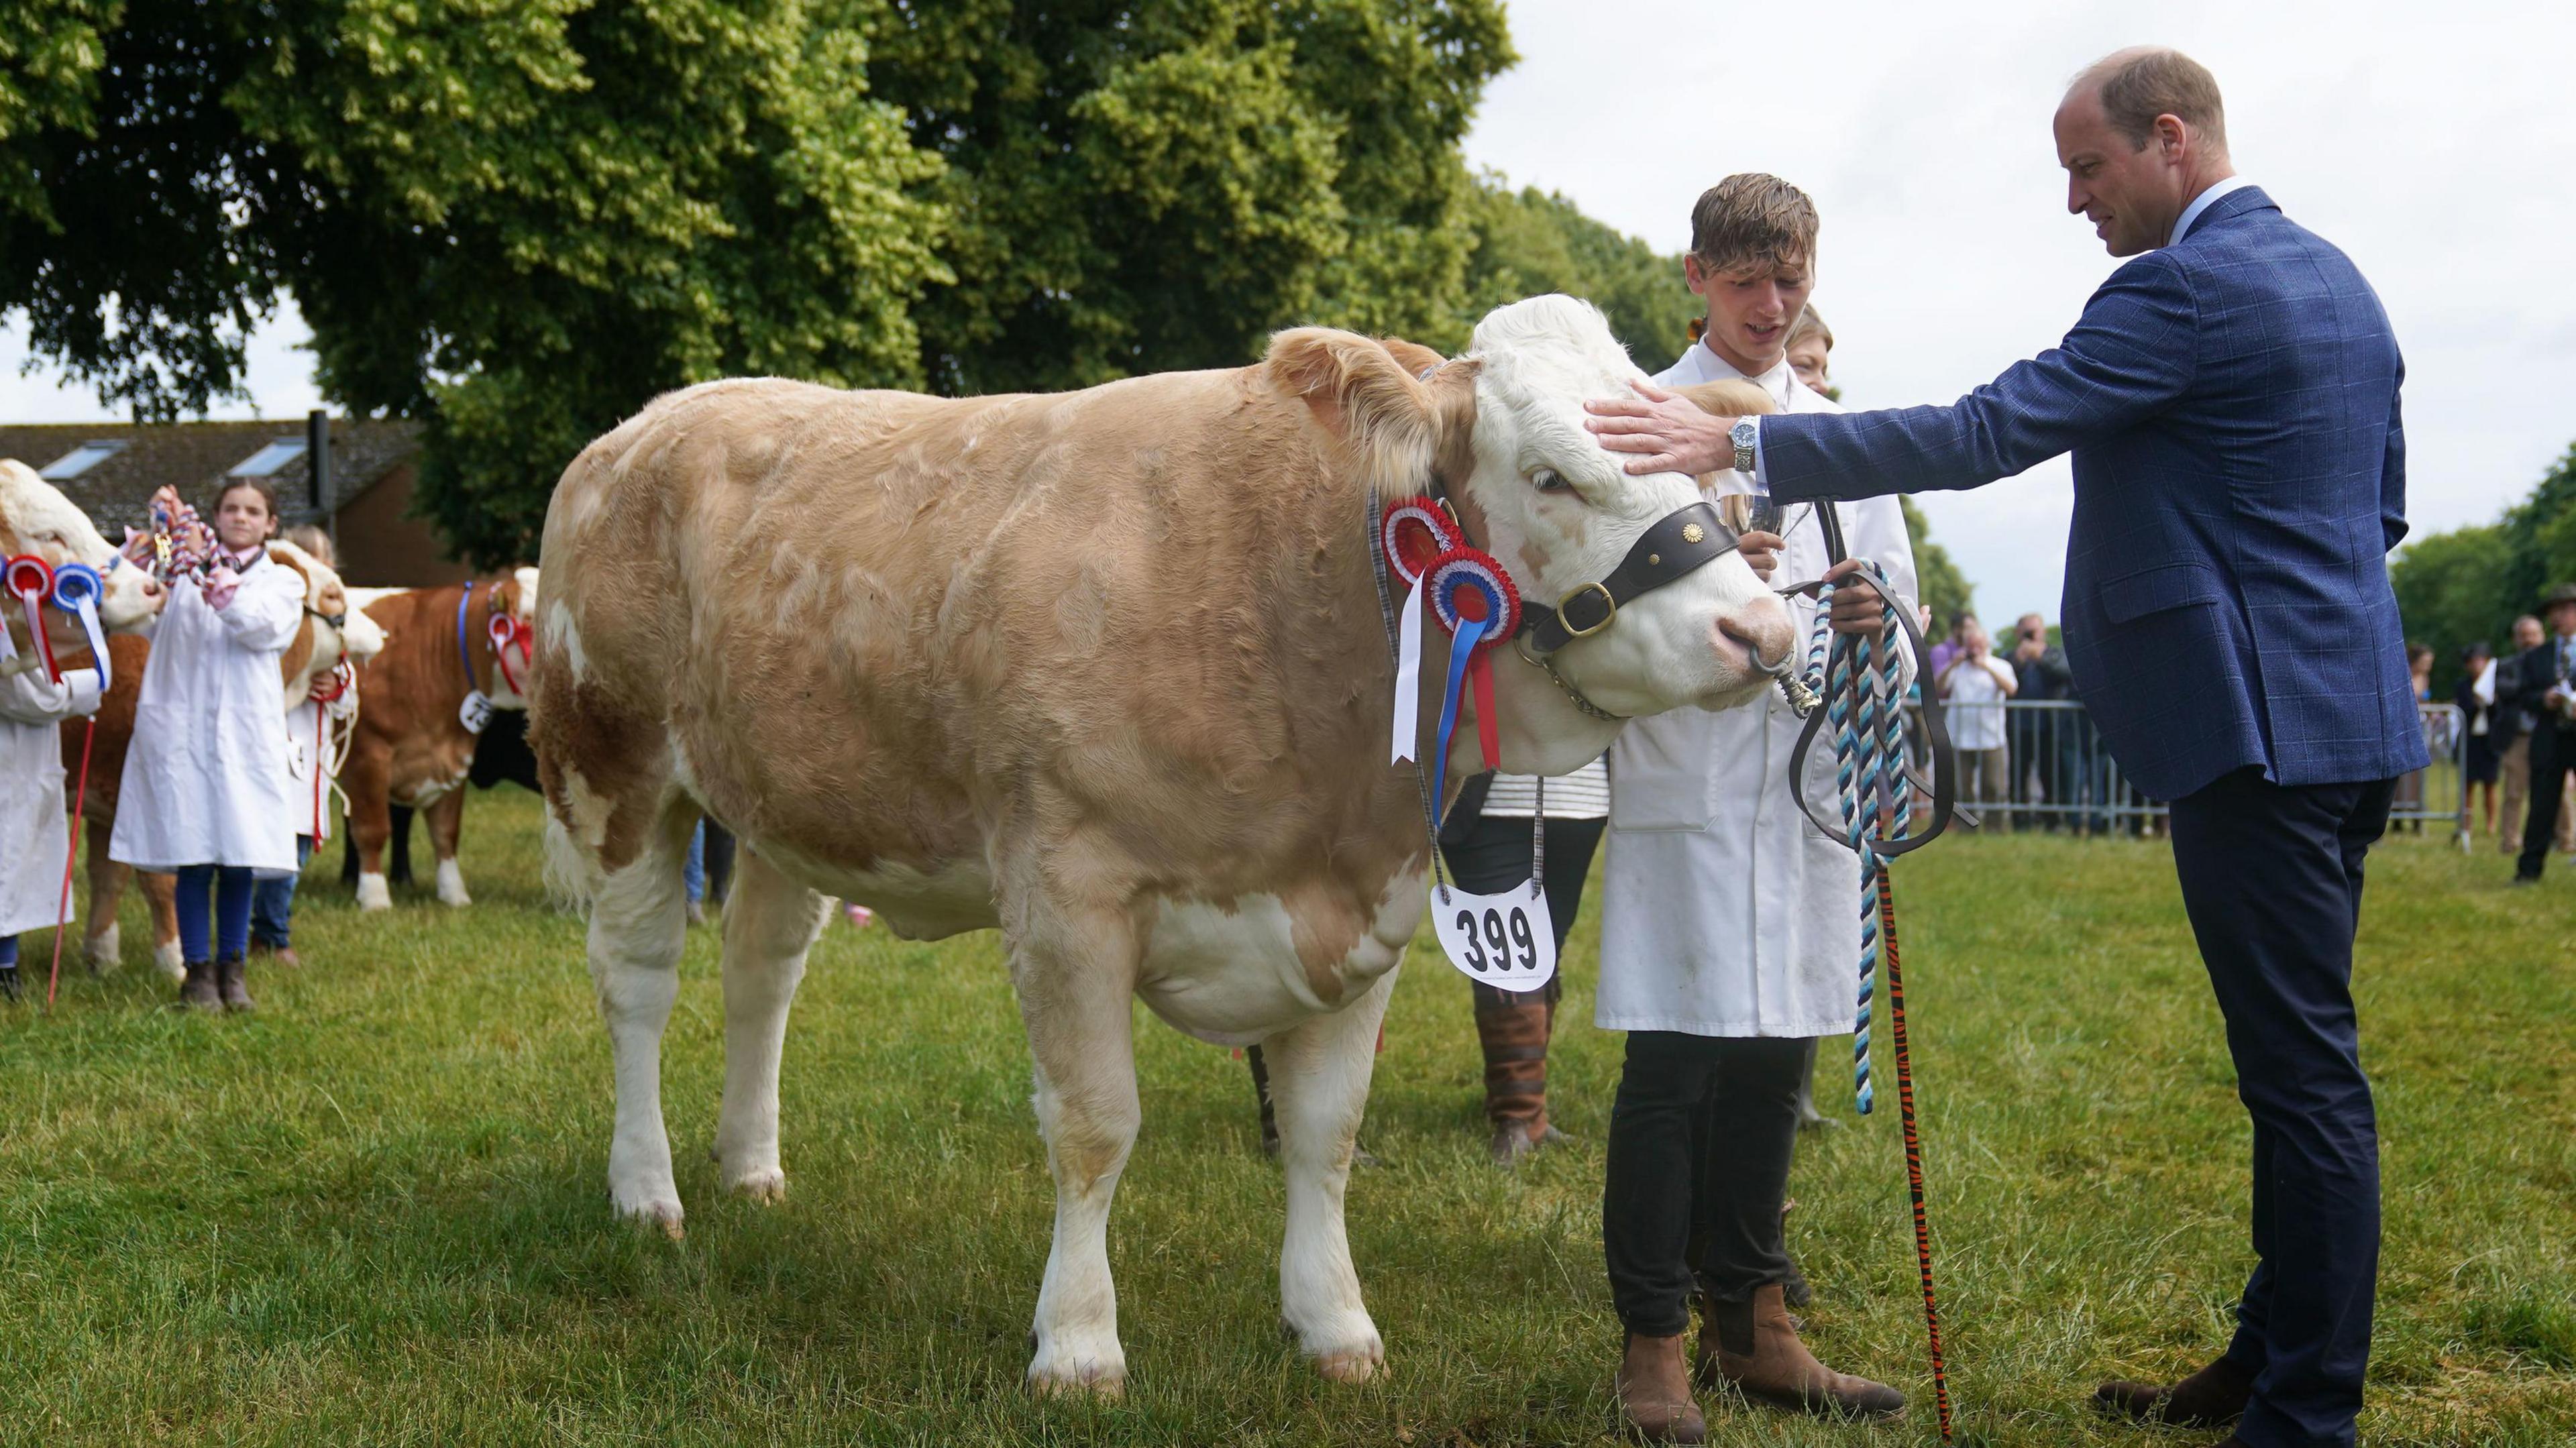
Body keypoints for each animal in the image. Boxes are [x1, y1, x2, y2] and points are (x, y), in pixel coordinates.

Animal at [342, 571, 533, 901]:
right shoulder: (367, 753)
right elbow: (372, 828)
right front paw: (374, 896)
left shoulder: (451, 756)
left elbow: (446, 832)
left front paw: (454, 895)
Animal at [533, 290, 1803, 1391]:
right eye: (1549, 474)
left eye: (1701, 467)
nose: (1763, 630)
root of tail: (654, 419)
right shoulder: (1065, 892)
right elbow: (1095, 1125)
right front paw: (1078, 1343)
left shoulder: (1371, 901)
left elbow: (1327, 1132)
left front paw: (1334, 1322)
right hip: (616, 768)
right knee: (637, 984)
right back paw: (647, 1190)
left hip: (785, 804)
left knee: (761, 973)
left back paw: (751, 1167)